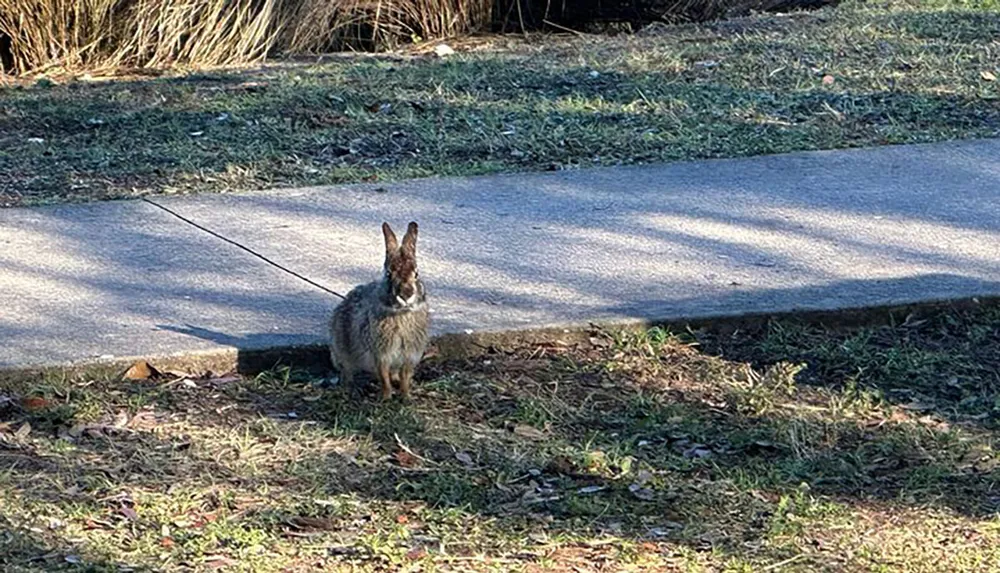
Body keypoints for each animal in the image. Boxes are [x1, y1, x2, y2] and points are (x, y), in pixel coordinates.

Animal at [328, 221, 430, 400]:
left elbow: (405, 376)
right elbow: (383, 376)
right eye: (388, 274)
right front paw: (386, 397)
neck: (401, 312)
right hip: (340, 348)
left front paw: (406, 396)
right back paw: (351, 388)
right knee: (347, 371)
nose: (406, 294)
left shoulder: (409, 355)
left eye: (416, 274)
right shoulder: (380, 355)